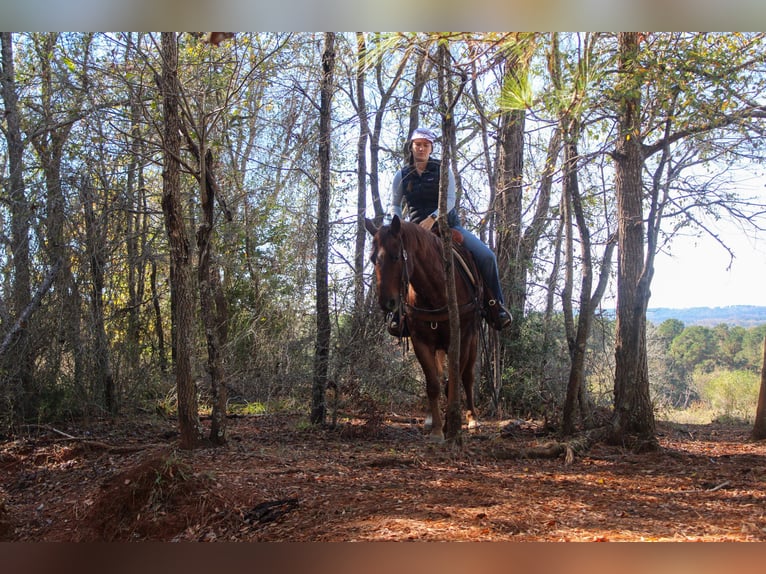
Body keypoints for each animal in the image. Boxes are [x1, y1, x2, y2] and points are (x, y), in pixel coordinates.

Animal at [365, 215, 483, 442]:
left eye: (396, 256)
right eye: (373, 259)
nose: (386, 303)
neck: (437, 290)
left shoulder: (463, 339)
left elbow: (454, 382)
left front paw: (451, 426)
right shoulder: (421, 341)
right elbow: (433, 384)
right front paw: (437, 430)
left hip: (473, 341)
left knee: (468, 377)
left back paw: (472, 418)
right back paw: (429, 420)